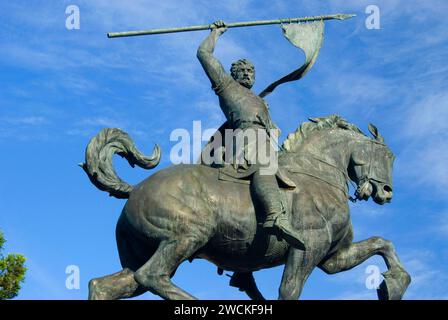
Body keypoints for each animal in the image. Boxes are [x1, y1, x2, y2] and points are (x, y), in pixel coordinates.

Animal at [82, 115, 412, 300]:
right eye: (388, 156)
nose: (386, 192)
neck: (315, 176)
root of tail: (135, 190)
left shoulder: (332, 257)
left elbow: (382, 243)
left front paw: (393, 285)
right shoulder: (308, 248)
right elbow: (289, 290)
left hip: (145, 253)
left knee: (104, 286)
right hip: (186, 237)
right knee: (151, 276)